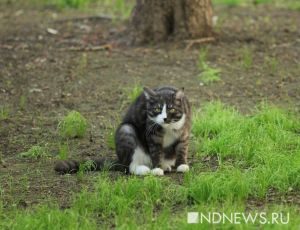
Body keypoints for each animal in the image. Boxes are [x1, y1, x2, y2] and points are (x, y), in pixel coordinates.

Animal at [54, 85, 191, 175]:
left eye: (172, 109)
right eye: (157, 109)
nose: (165, 118)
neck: (169, 127)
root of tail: (119, 160)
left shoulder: (184, 130)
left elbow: (182, 148)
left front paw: (182, 165)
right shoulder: (152, 132)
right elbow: (156, 150)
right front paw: (157, 168)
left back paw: (166, 165)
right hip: (126, 130)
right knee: (128, 167)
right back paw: (144, 169)